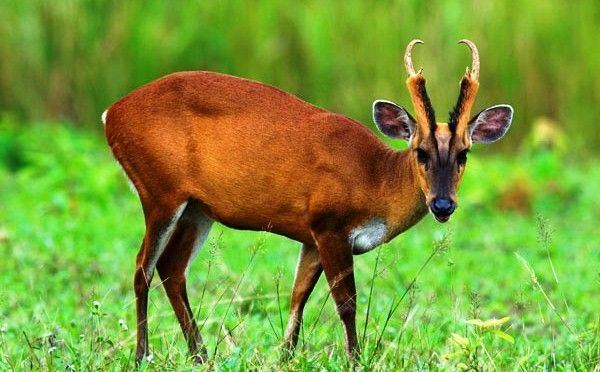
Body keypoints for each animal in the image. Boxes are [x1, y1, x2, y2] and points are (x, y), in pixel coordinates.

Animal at [102, 39, 510, 362]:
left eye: (464, 154)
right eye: (421, 151)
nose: (443, 206)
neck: (376, 179)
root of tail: (111, 114)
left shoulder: (310, 236)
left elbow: (298, 296)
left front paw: (285, 355)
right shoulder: (329, 225)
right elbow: (346, 302)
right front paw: (354, 359)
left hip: (198, 209)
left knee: (171, 268)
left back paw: (200, 354)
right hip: (159, 192)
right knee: (142, 267)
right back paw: (142, 354)